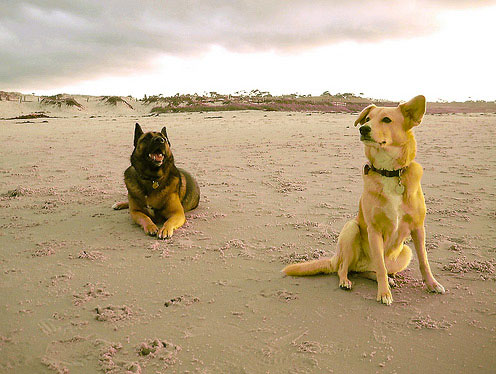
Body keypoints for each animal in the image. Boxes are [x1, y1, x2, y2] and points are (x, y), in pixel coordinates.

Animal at [282, 95, 446, 306]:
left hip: (405, 252)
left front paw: (432, 284)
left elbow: (424, 261)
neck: (389, 172)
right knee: (345, 268)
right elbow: (381, 266)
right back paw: (346, 281)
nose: (363, 129)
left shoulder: (418, 228)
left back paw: (386, 279)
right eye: (367, 119)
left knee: (371, 270)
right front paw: (384, 293)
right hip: (351, 229)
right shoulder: (374, 229)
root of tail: (334, 258)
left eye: (386, 119)